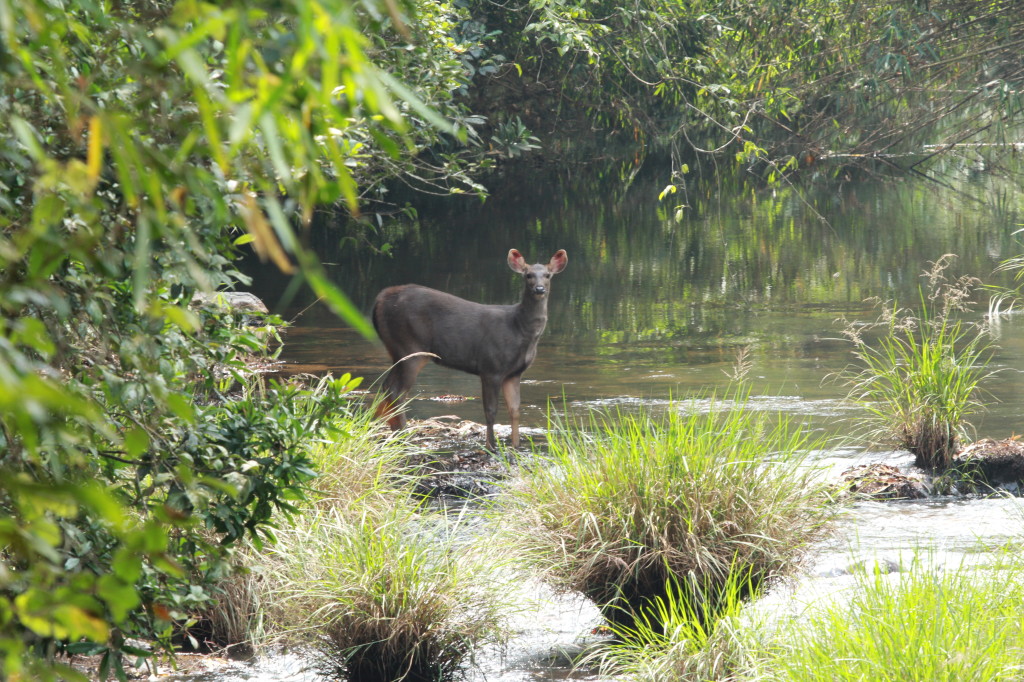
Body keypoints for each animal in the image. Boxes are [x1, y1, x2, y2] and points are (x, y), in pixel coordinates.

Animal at [374, 248, 569, 446]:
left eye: (547, 275)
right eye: (528, 275)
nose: (539, 289)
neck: (519, 328)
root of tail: (379, 300)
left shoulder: (514, 373)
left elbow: (515, 410)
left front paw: (515, 446)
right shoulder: (491, 366)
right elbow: (490, 410)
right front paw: (491, 446)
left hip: (397, 350)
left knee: (386, 386)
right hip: (410, 346)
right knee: (397, 392)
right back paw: (403, 435)